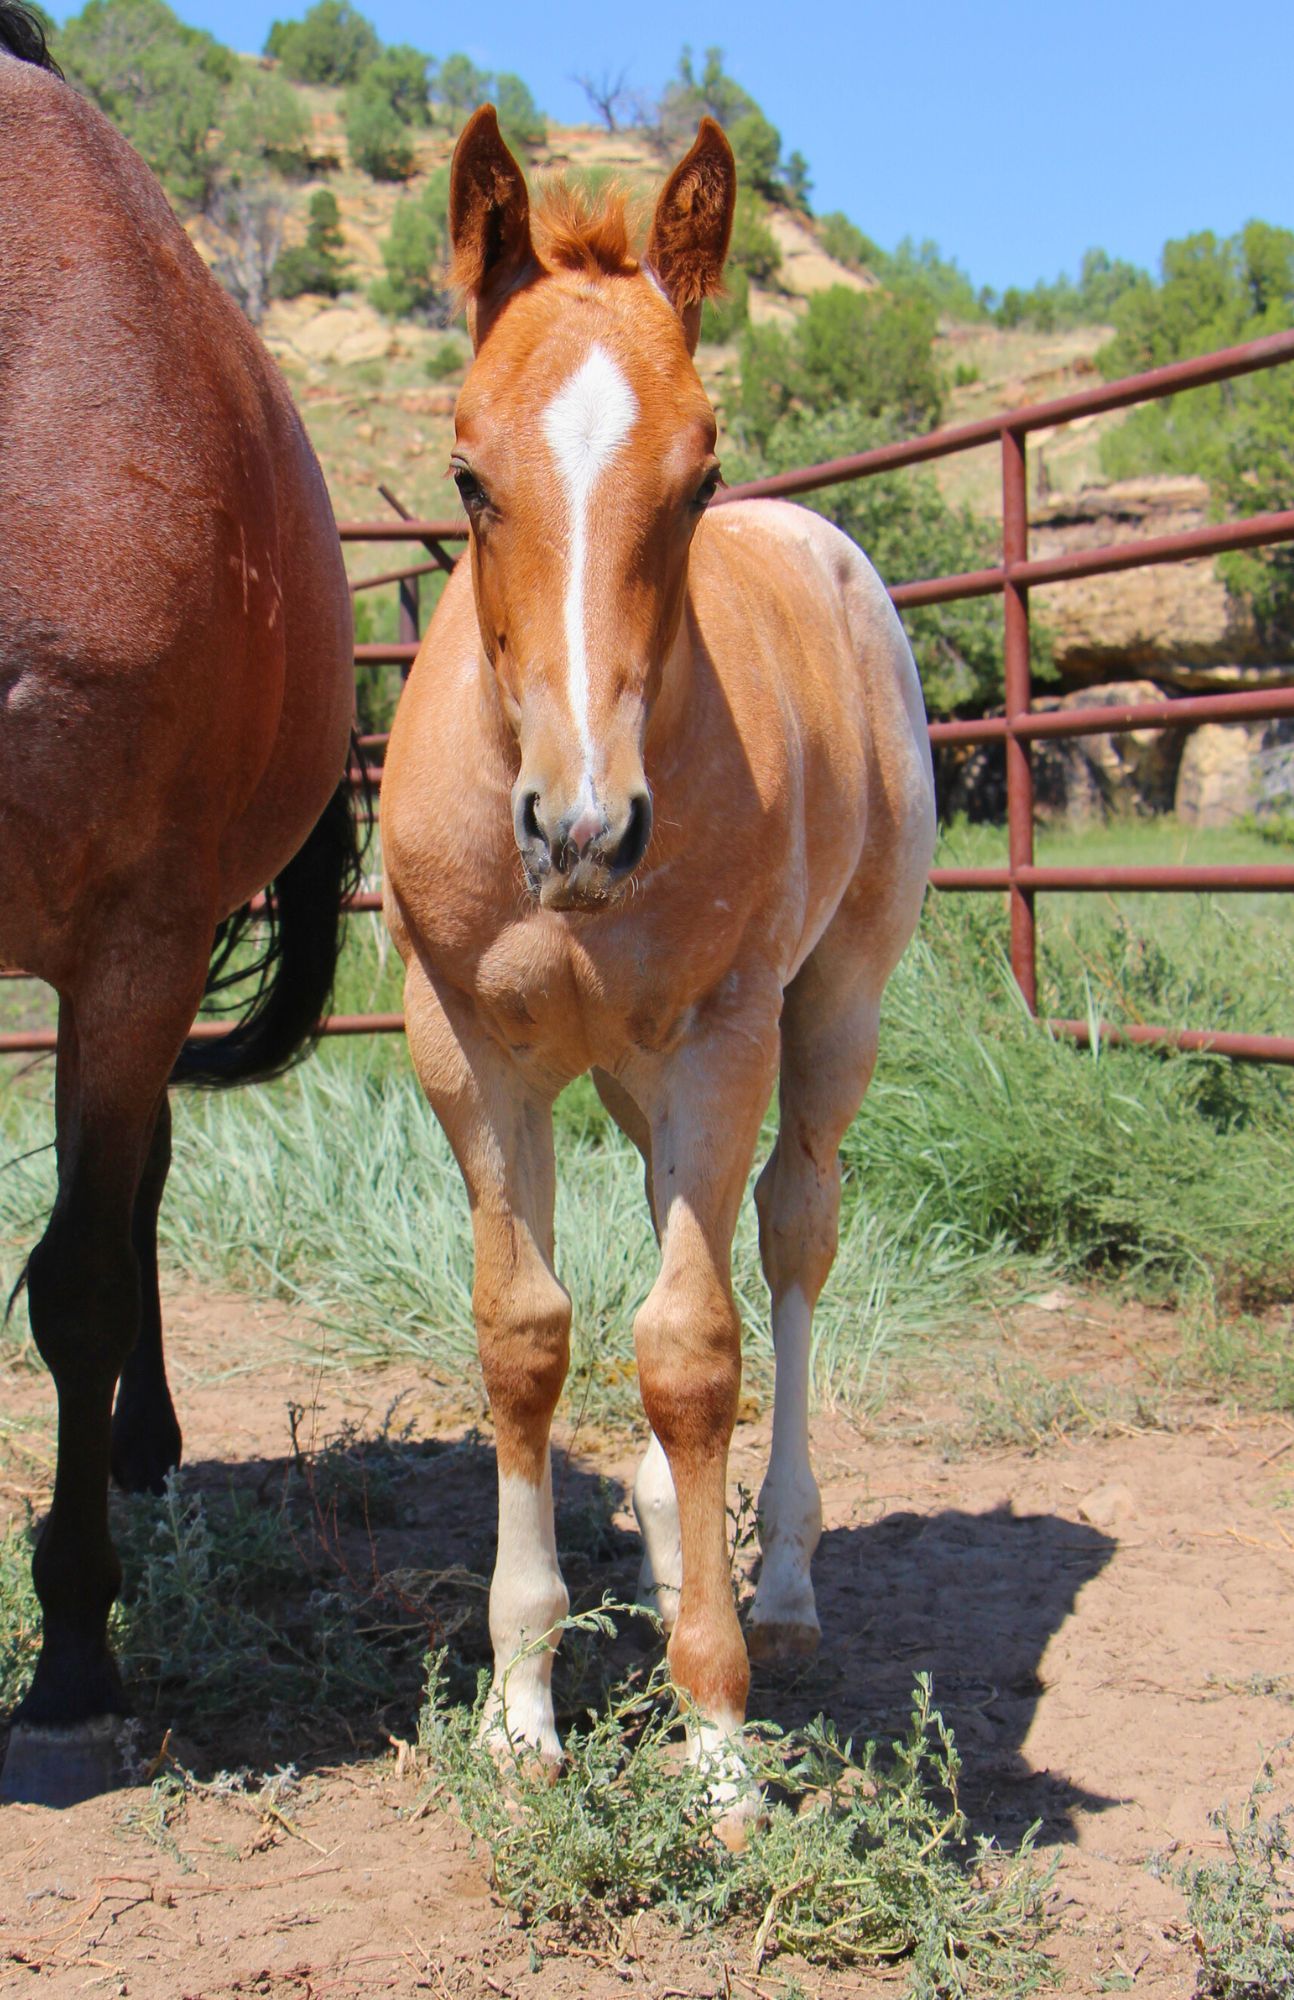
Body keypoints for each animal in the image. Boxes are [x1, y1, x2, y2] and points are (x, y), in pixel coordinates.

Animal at [381, 106, 937, 1814]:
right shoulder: (466, 1048)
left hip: (828, 1015)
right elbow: (526, 1335)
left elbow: (693, 1348)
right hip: (631, 1071)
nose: (582, 829)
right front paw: (519, 1706)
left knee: (794, 1242)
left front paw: (718, 1744)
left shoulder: (721, 1033)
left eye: (700, 476)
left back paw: (782, 1581)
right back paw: (661, 1531)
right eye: (466, 475)